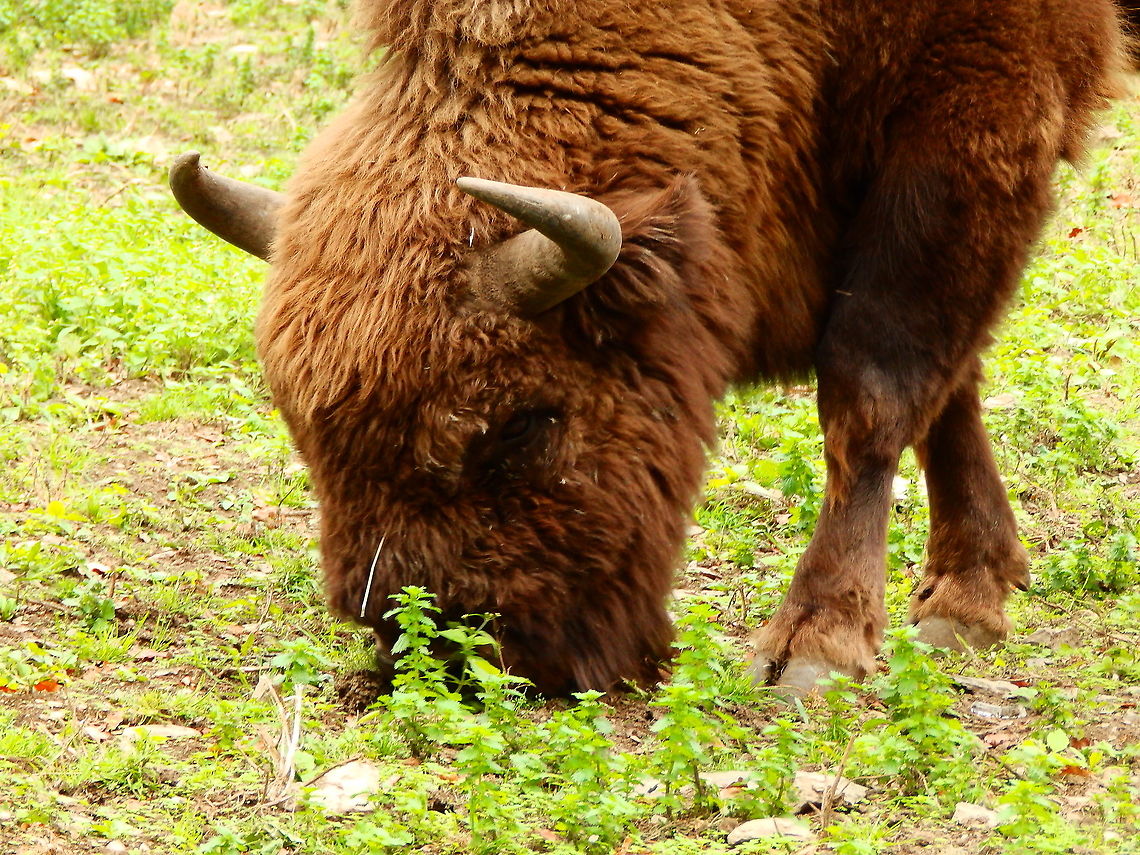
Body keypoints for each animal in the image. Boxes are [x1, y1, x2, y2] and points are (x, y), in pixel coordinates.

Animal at [171, 0, 1126, 695]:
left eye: (522, 423)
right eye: (311, 445)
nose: (455, 654)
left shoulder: (978, 105)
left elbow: (876, 382)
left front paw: (815, 647)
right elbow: (951, 379)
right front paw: (969, 598)